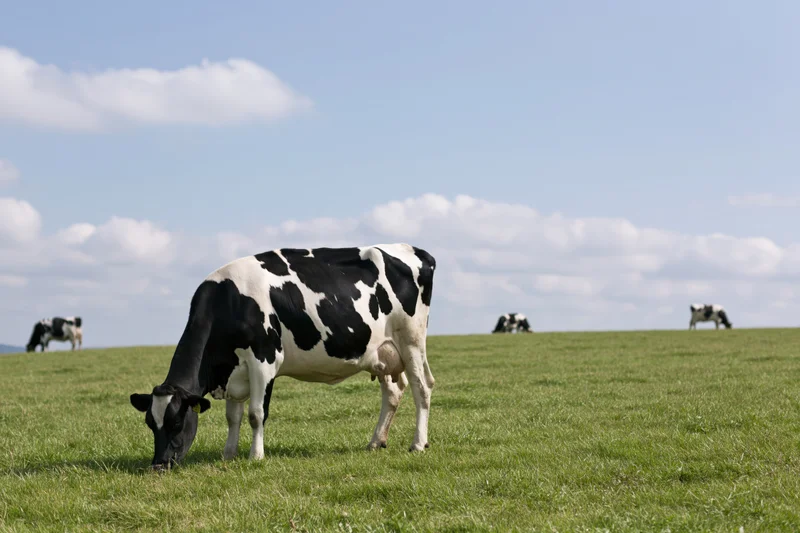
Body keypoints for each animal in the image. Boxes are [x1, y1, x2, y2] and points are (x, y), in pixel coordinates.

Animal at [129, 243, 436, 471]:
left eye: (176, 423)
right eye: (150, 424)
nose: (158, 465)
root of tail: (418, 251)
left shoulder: (264, 361)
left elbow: (255, 414)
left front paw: (255, 456)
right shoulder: (234, 371)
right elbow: (232, 416)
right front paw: (228, 454)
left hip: (411, 341)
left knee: (422, 388)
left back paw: (418, 444)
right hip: (384, 353)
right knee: (393, 392)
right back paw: (376, 441)